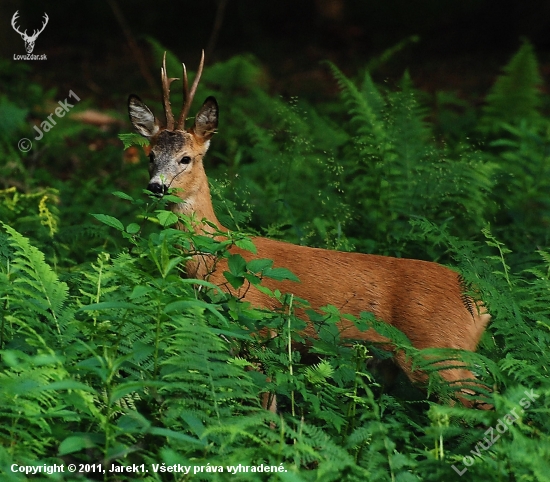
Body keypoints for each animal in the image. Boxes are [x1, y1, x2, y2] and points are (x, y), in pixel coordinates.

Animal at [128, 51, 492, 406]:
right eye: (150, 155)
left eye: (186, 158)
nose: (157, 187)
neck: (217, 255)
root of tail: (481, 305)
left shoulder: (259, 324)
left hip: (438, 351)